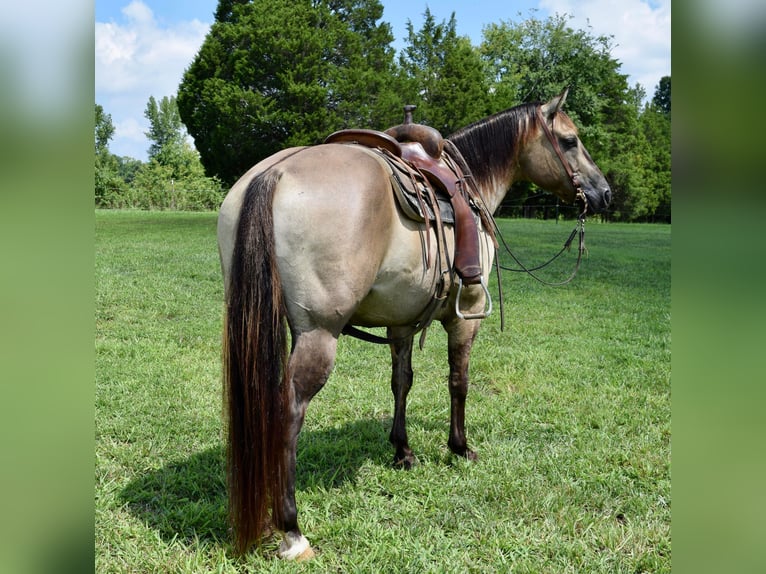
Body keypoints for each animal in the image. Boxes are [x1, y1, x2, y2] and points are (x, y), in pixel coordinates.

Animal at [216, 90, 612, 564]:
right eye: (570, 141)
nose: (605, 193)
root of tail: (274, 173)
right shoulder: (465, 315)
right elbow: (458, 381)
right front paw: (459, 446)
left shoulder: (401, 322)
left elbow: (401, 382)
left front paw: (402, 450)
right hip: (318, 336)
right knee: (289, 410)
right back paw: (291, 529)